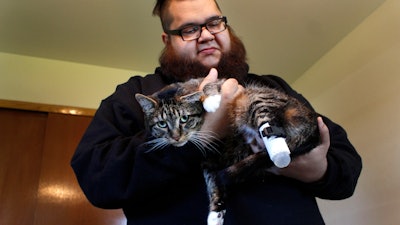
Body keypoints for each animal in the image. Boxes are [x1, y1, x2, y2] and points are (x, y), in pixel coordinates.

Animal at [134, 78, 318, 225]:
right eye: (162, 124)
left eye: (184, 119)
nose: (176, 137)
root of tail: (312, 120)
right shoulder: (208, 161)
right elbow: (212, 184)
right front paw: (216, 214)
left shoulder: (219, 81)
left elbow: (209, 84)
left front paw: (211, 99)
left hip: (256, 98)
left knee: (270, 126)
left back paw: (278, 152)